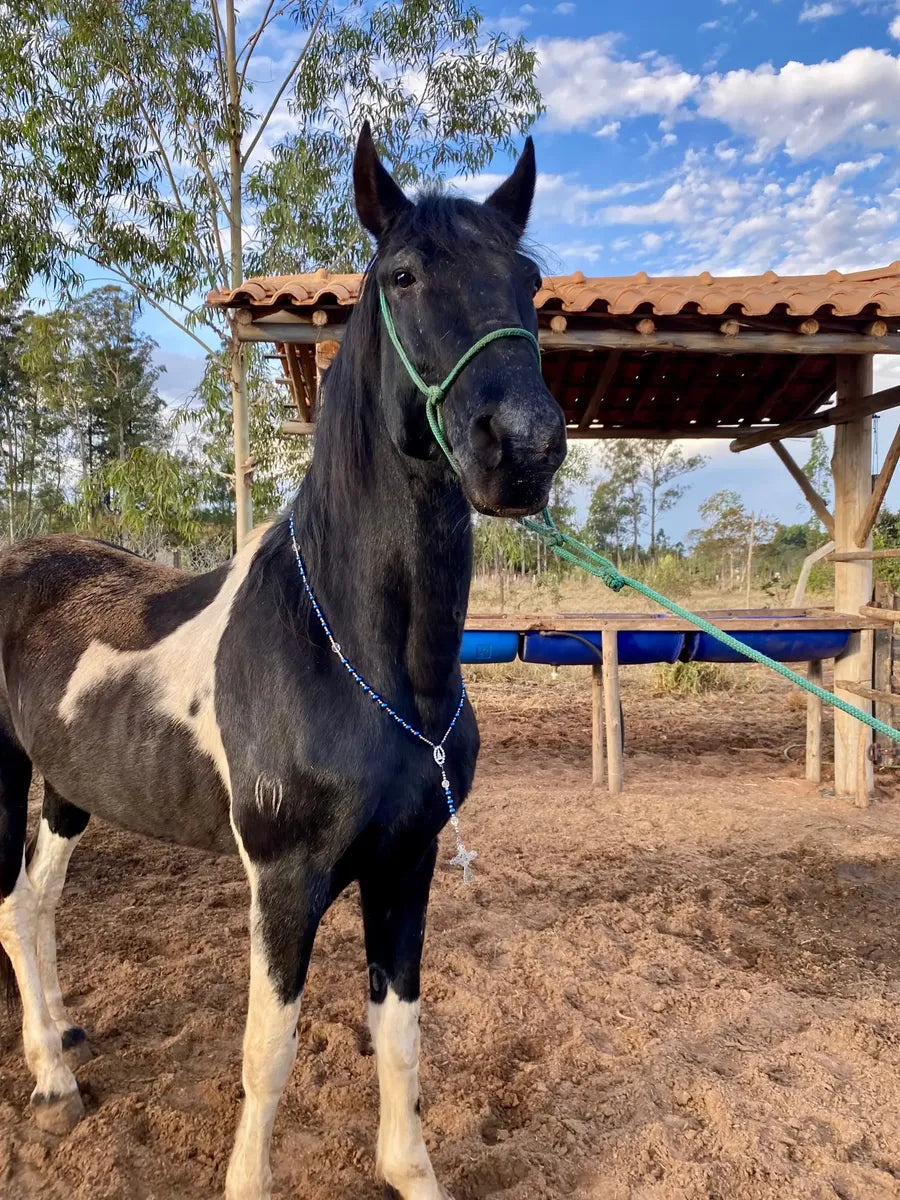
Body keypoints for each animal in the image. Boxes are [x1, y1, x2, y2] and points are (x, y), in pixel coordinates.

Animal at [0, 123, 566, 1198]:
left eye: (529, 281)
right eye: (403, 274)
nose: (521, 447)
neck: (361, 662)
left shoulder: (406, 865)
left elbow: (401, 1035)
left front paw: (409, 1171)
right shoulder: (284, 879)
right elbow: (270, 1051)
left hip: (66, 789)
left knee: (33, 908)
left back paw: (59, 1063)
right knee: (16, 912)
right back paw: (48, 1078)